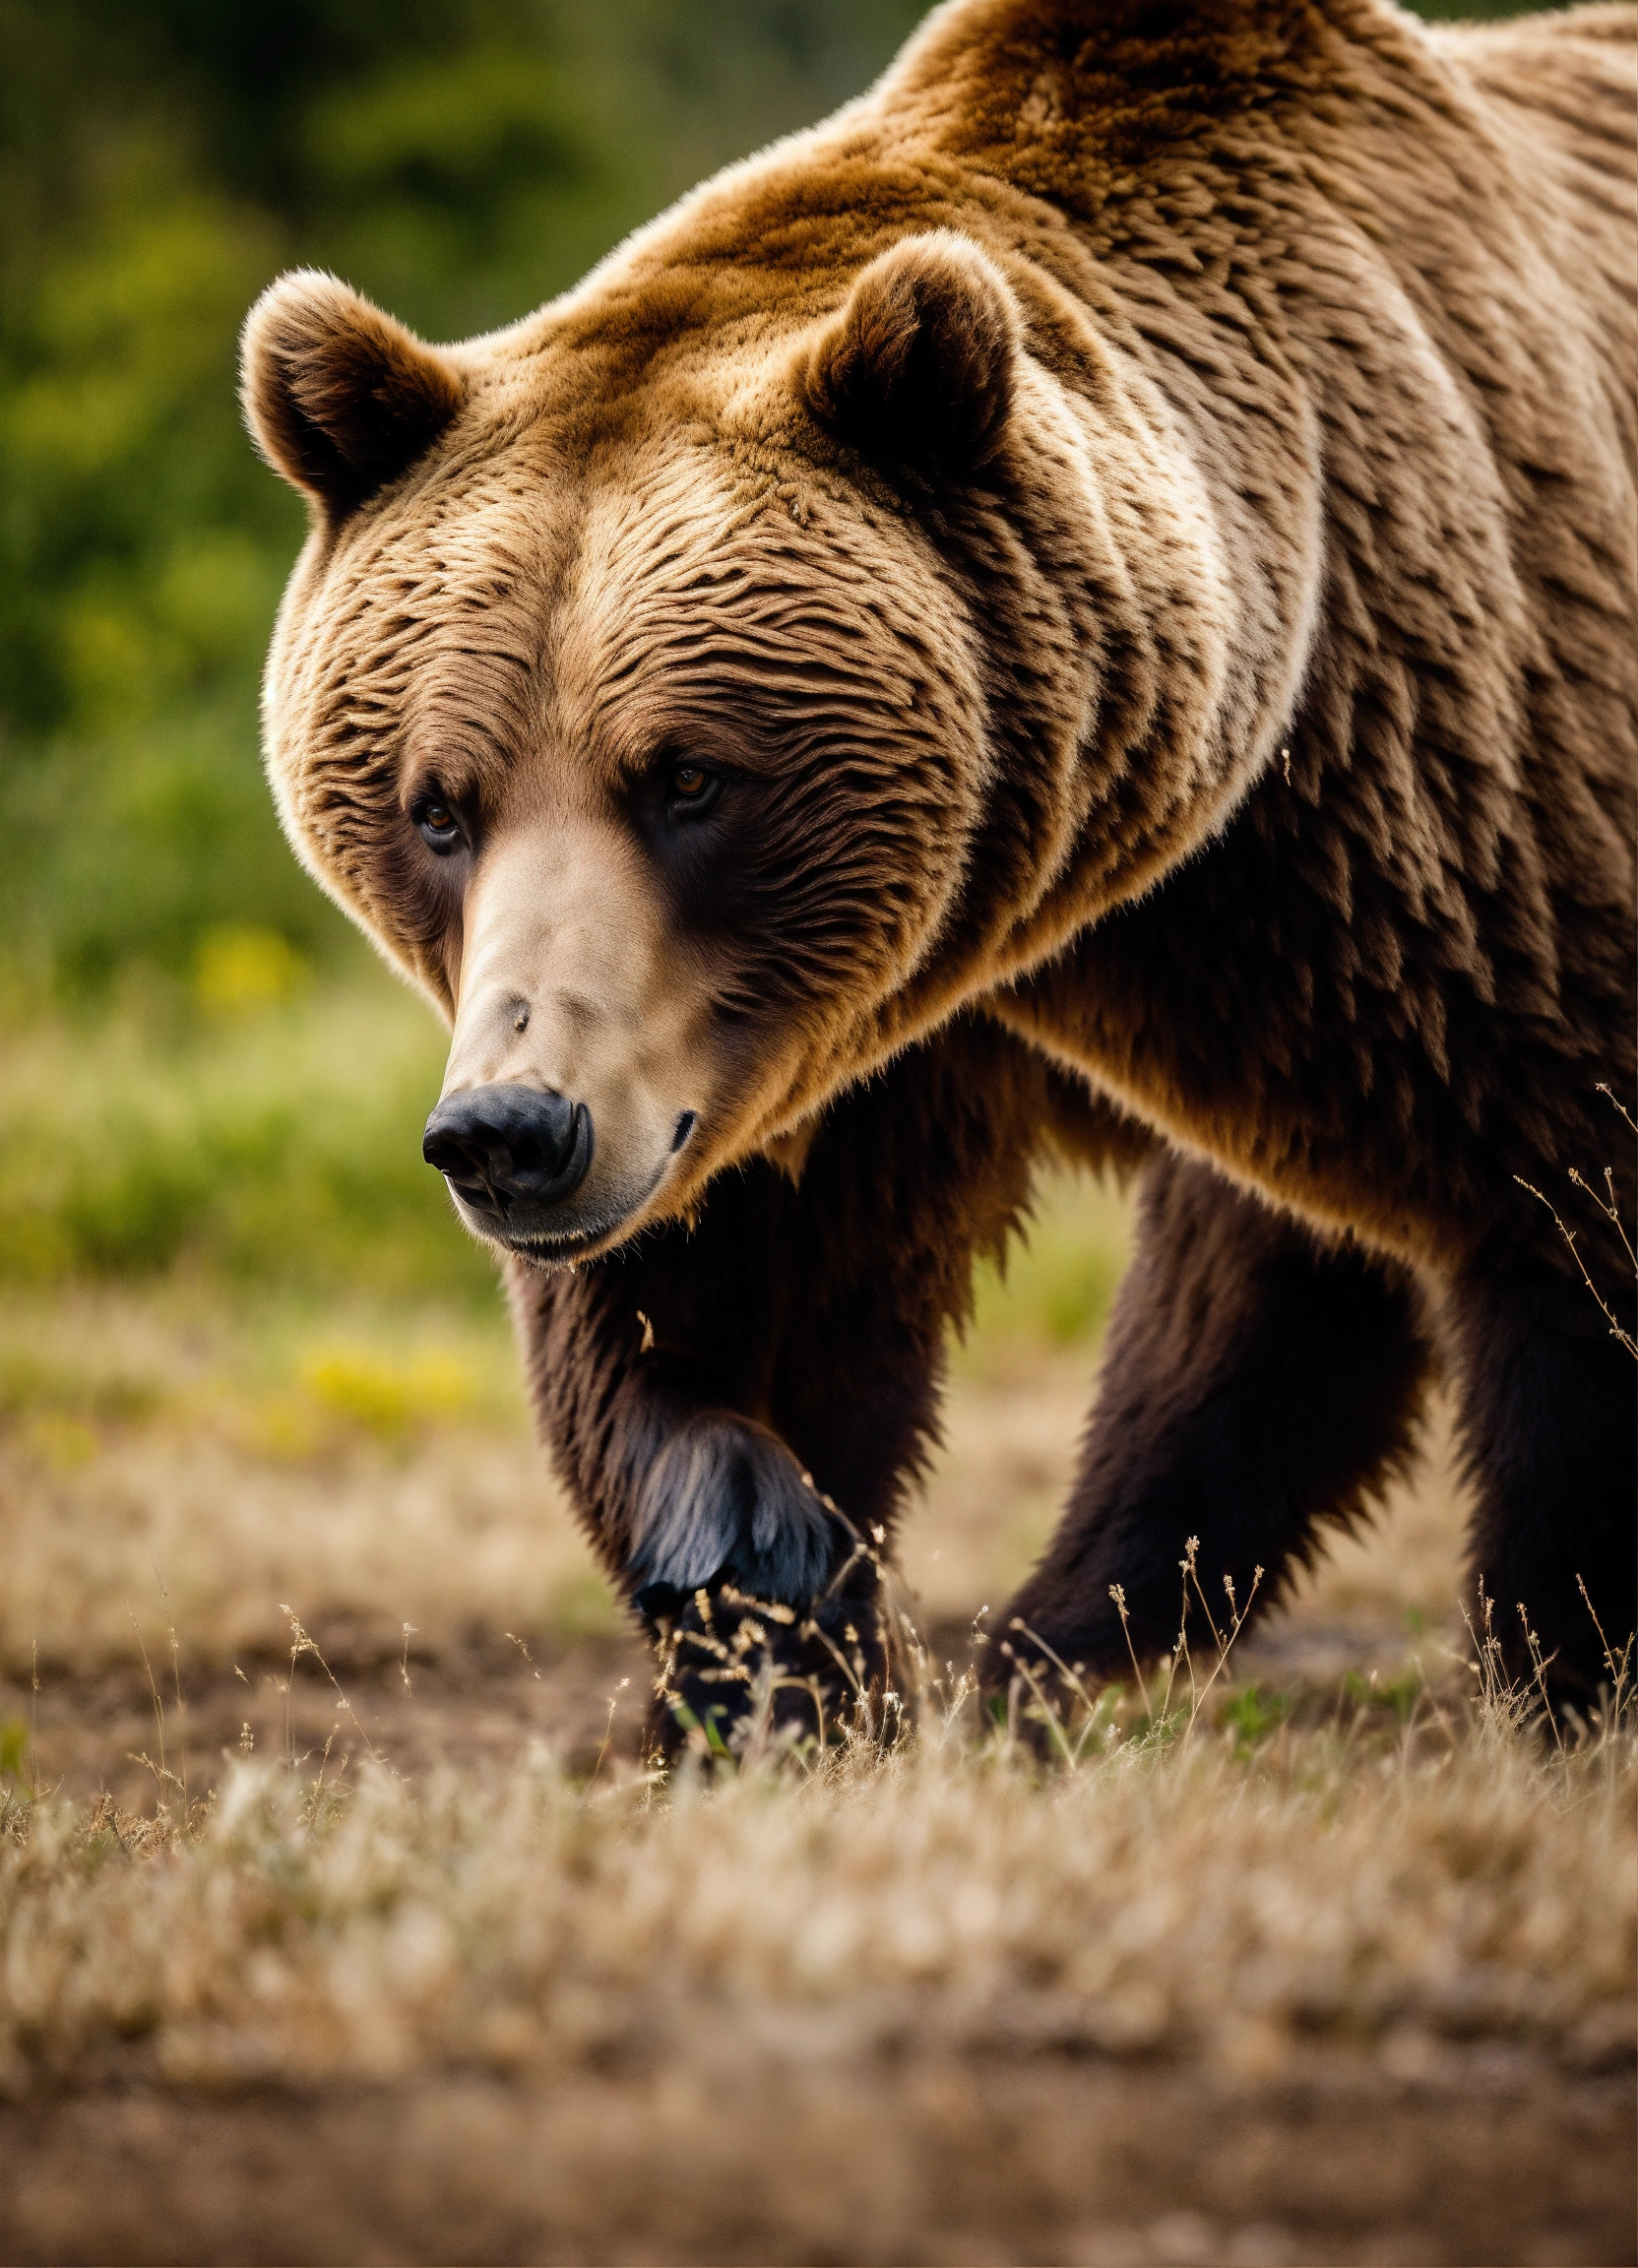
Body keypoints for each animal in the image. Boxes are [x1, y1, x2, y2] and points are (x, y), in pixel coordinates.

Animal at [242, 0, 1633, 1741]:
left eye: (687, 776)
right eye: (439, 804)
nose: (512, 1134)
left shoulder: (1425, 862)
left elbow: (1566, 1268)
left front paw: (1560, 1681)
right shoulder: (817, 1028)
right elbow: (731, 1293)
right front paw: (764, 1583)